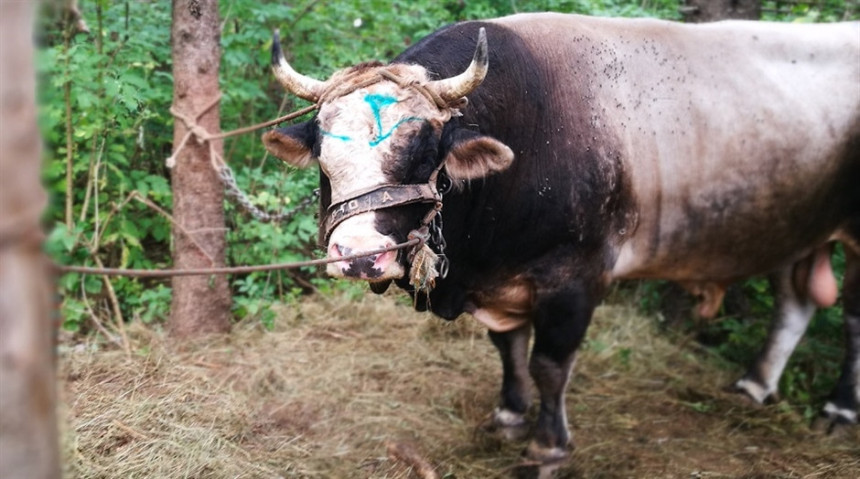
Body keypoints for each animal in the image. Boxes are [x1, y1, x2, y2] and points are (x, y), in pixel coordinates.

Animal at [262, 13, 860, 464]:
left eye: (425, 149)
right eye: (323, 153)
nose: (359, 256)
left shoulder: (574, 278)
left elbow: (550, 364)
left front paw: (547, 446)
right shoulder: (503, 278)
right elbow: (508, 347)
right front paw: (509, 414)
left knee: (850, 318)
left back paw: (839, 410)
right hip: (794, 222)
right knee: (796, 303)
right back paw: (755, 385)